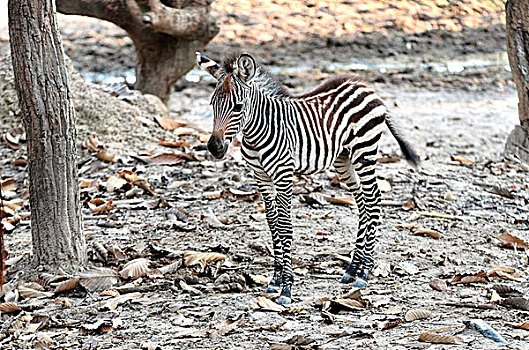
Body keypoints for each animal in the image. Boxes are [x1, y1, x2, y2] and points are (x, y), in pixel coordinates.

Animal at [196, 51, 418, 304]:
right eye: (212, 105)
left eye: (238, 106)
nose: (214, 148)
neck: (256, 132)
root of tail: (364, 85)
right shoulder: (261, 178)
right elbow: (273, 225)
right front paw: (275, 281)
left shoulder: (283, 175)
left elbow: (285, 226)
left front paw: (286, 288)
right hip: (343, 159)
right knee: (363, 202)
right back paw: (352, 268)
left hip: (365, 152)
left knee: (373, 200)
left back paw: (364, 273)